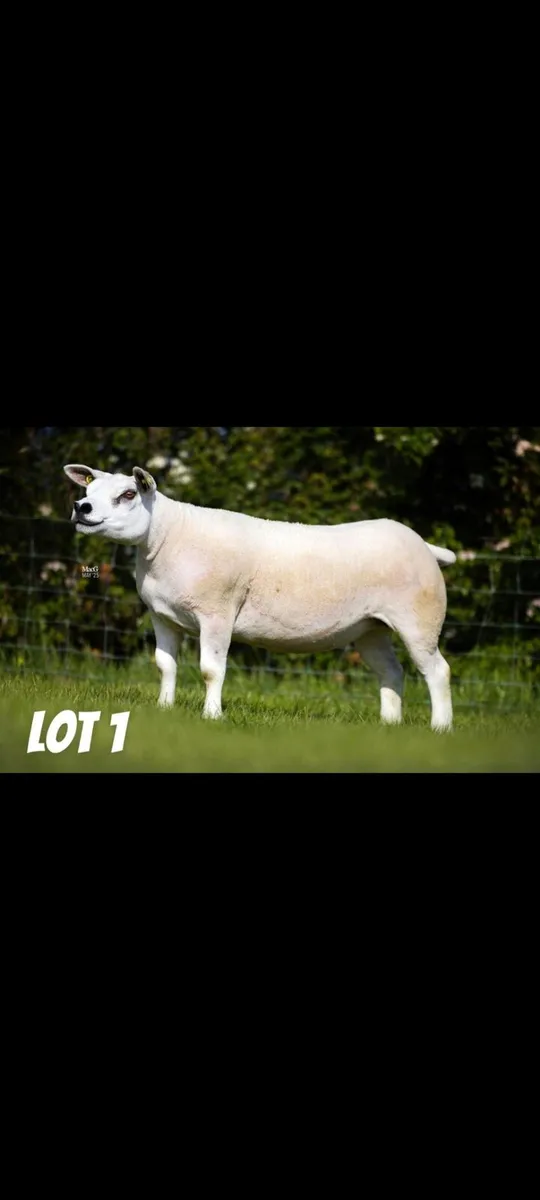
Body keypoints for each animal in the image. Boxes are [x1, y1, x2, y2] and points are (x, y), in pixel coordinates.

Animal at [63, 463, 456, 730]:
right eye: (90, 490)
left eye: (128, 495)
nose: (82, 507)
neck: (166, 538)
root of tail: (426, 546)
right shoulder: (162, 617)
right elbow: (165, 665)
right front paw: (164, 708)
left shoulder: (217, 613)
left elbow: (210, 671)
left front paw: (212, 715)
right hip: (370, 628)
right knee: (391, 671)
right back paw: (389, 725)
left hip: (419, 619)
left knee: (437, 671)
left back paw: (441, 727)